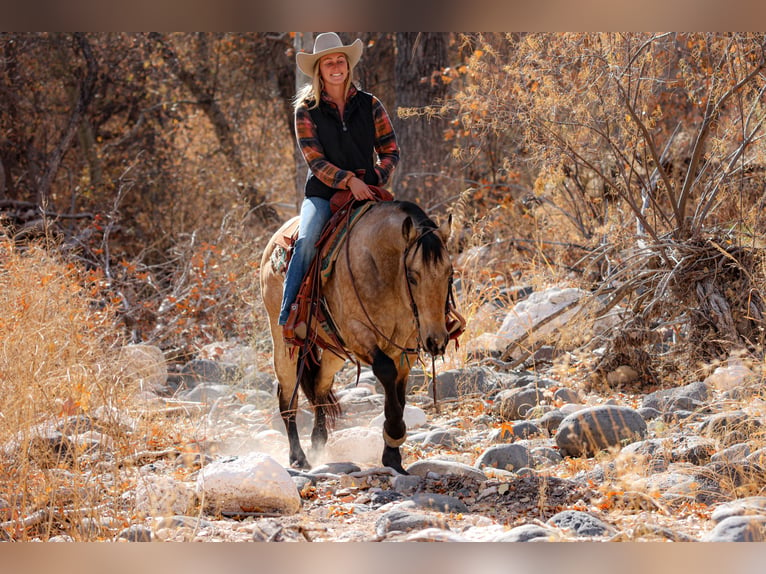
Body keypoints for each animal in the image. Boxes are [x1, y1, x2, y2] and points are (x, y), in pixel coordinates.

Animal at [258, 200, 462, 474]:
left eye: (450, 274)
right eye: (412, 276)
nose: (436, 341)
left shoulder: (406, 347)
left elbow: (399, 395)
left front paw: (392, 456)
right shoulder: (359, 334)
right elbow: (385, 370)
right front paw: (395, 433)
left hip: (332, 350)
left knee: (320, 384)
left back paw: (318, 442)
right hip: (283, 341)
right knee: (287, 392)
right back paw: (298, 456)